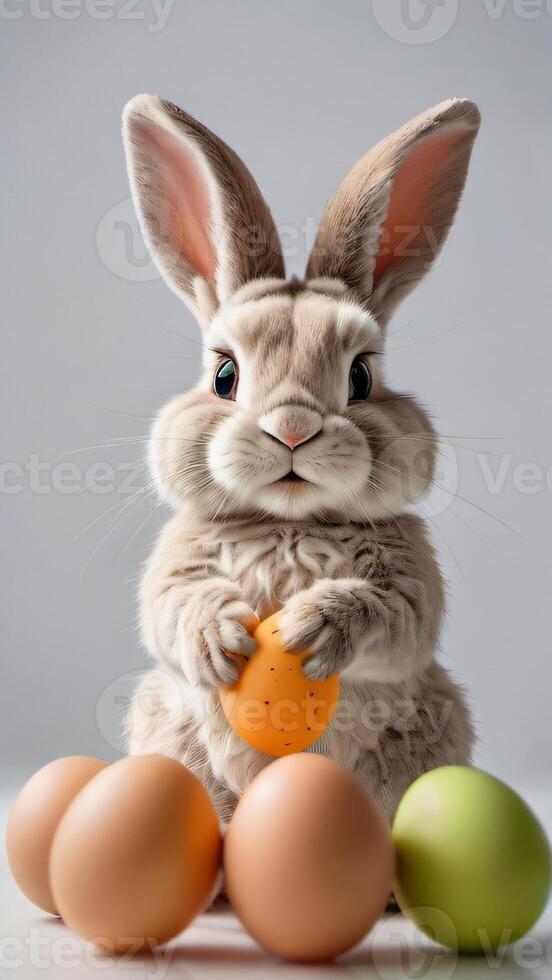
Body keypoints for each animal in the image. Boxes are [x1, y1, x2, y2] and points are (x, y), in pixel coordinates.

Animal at [122, 94, 478, 828]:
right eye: (225, 375)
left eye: (361, 377)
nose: (292, 431)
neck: (289, 522)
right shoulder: (176, 565)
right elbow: (173, 606)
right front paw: (221, 636)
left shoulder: (411, 580)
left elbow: (395, 613)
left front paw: (314, 627)